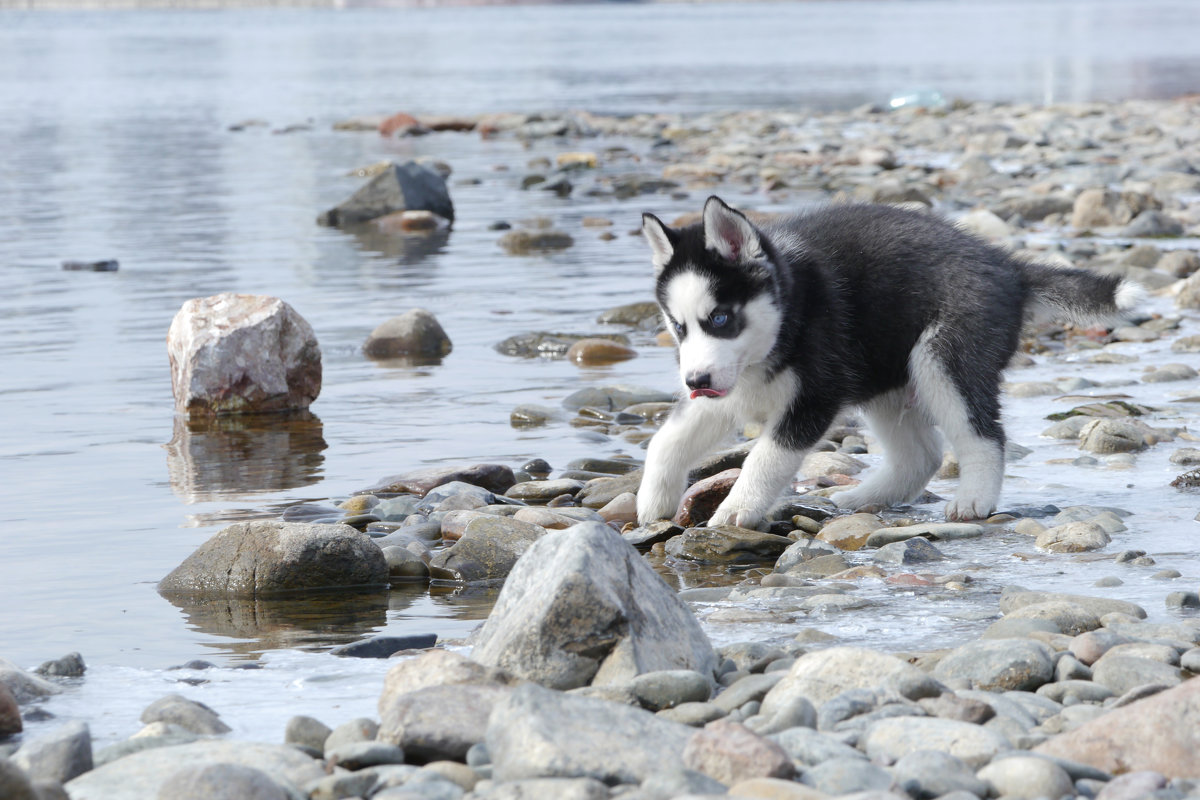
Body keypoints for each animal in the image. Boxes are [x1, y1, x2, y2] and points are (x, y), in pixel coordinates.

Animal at [638, 196, 1142, 527]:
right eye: (679, 327)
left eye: (721, 318)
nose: (695, 379)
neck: (790, 315)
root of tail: (1006, 265)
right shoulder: (726, 390)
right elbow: (665, 441)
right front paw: (653, 502)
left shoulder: (815, 396)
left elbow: (766, 457)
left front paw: (736, 508)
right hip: (886, 377)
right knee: (922, 456)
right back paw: (864, 498)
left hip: (943, 361)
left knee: (984, 437)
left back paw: (973, 500)